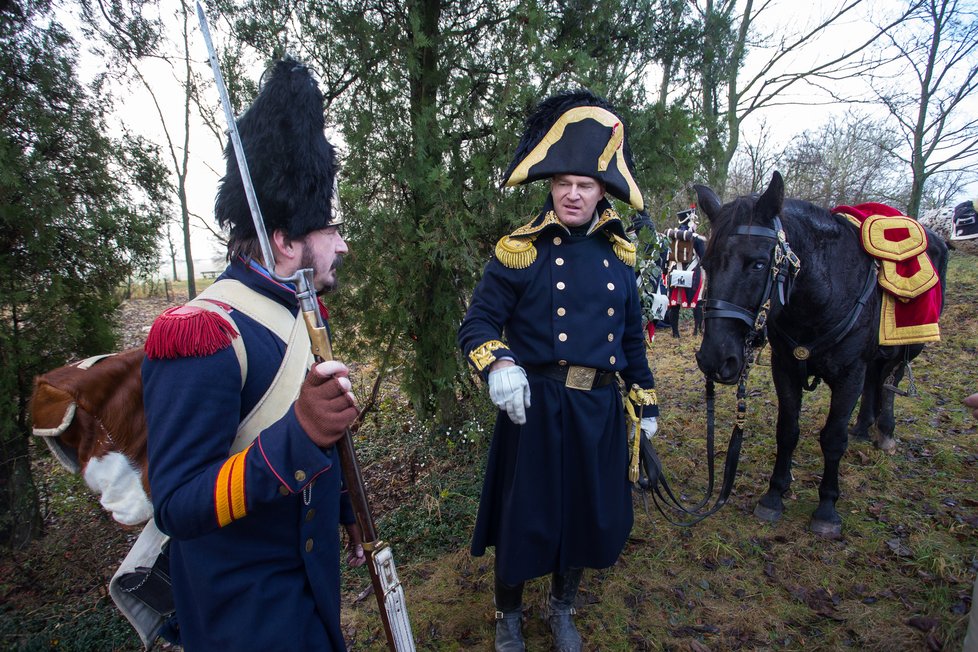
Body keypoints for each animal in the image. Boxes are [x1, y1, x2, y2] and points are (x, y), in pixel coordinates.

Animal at [692, 172, 948, 536]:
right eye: (707, 264)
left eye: (758, 263)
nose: (715, 358)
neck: (825, 292)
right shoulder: (785, 367)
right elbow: (788, 430)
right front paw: (774, 495)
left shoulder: (849, 373)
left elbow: (834, 438)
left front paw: (827, 507)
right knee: (875, 381)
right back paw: (864, 425)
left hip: (905, 349)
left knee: (890, 381)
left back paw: (885, 431)